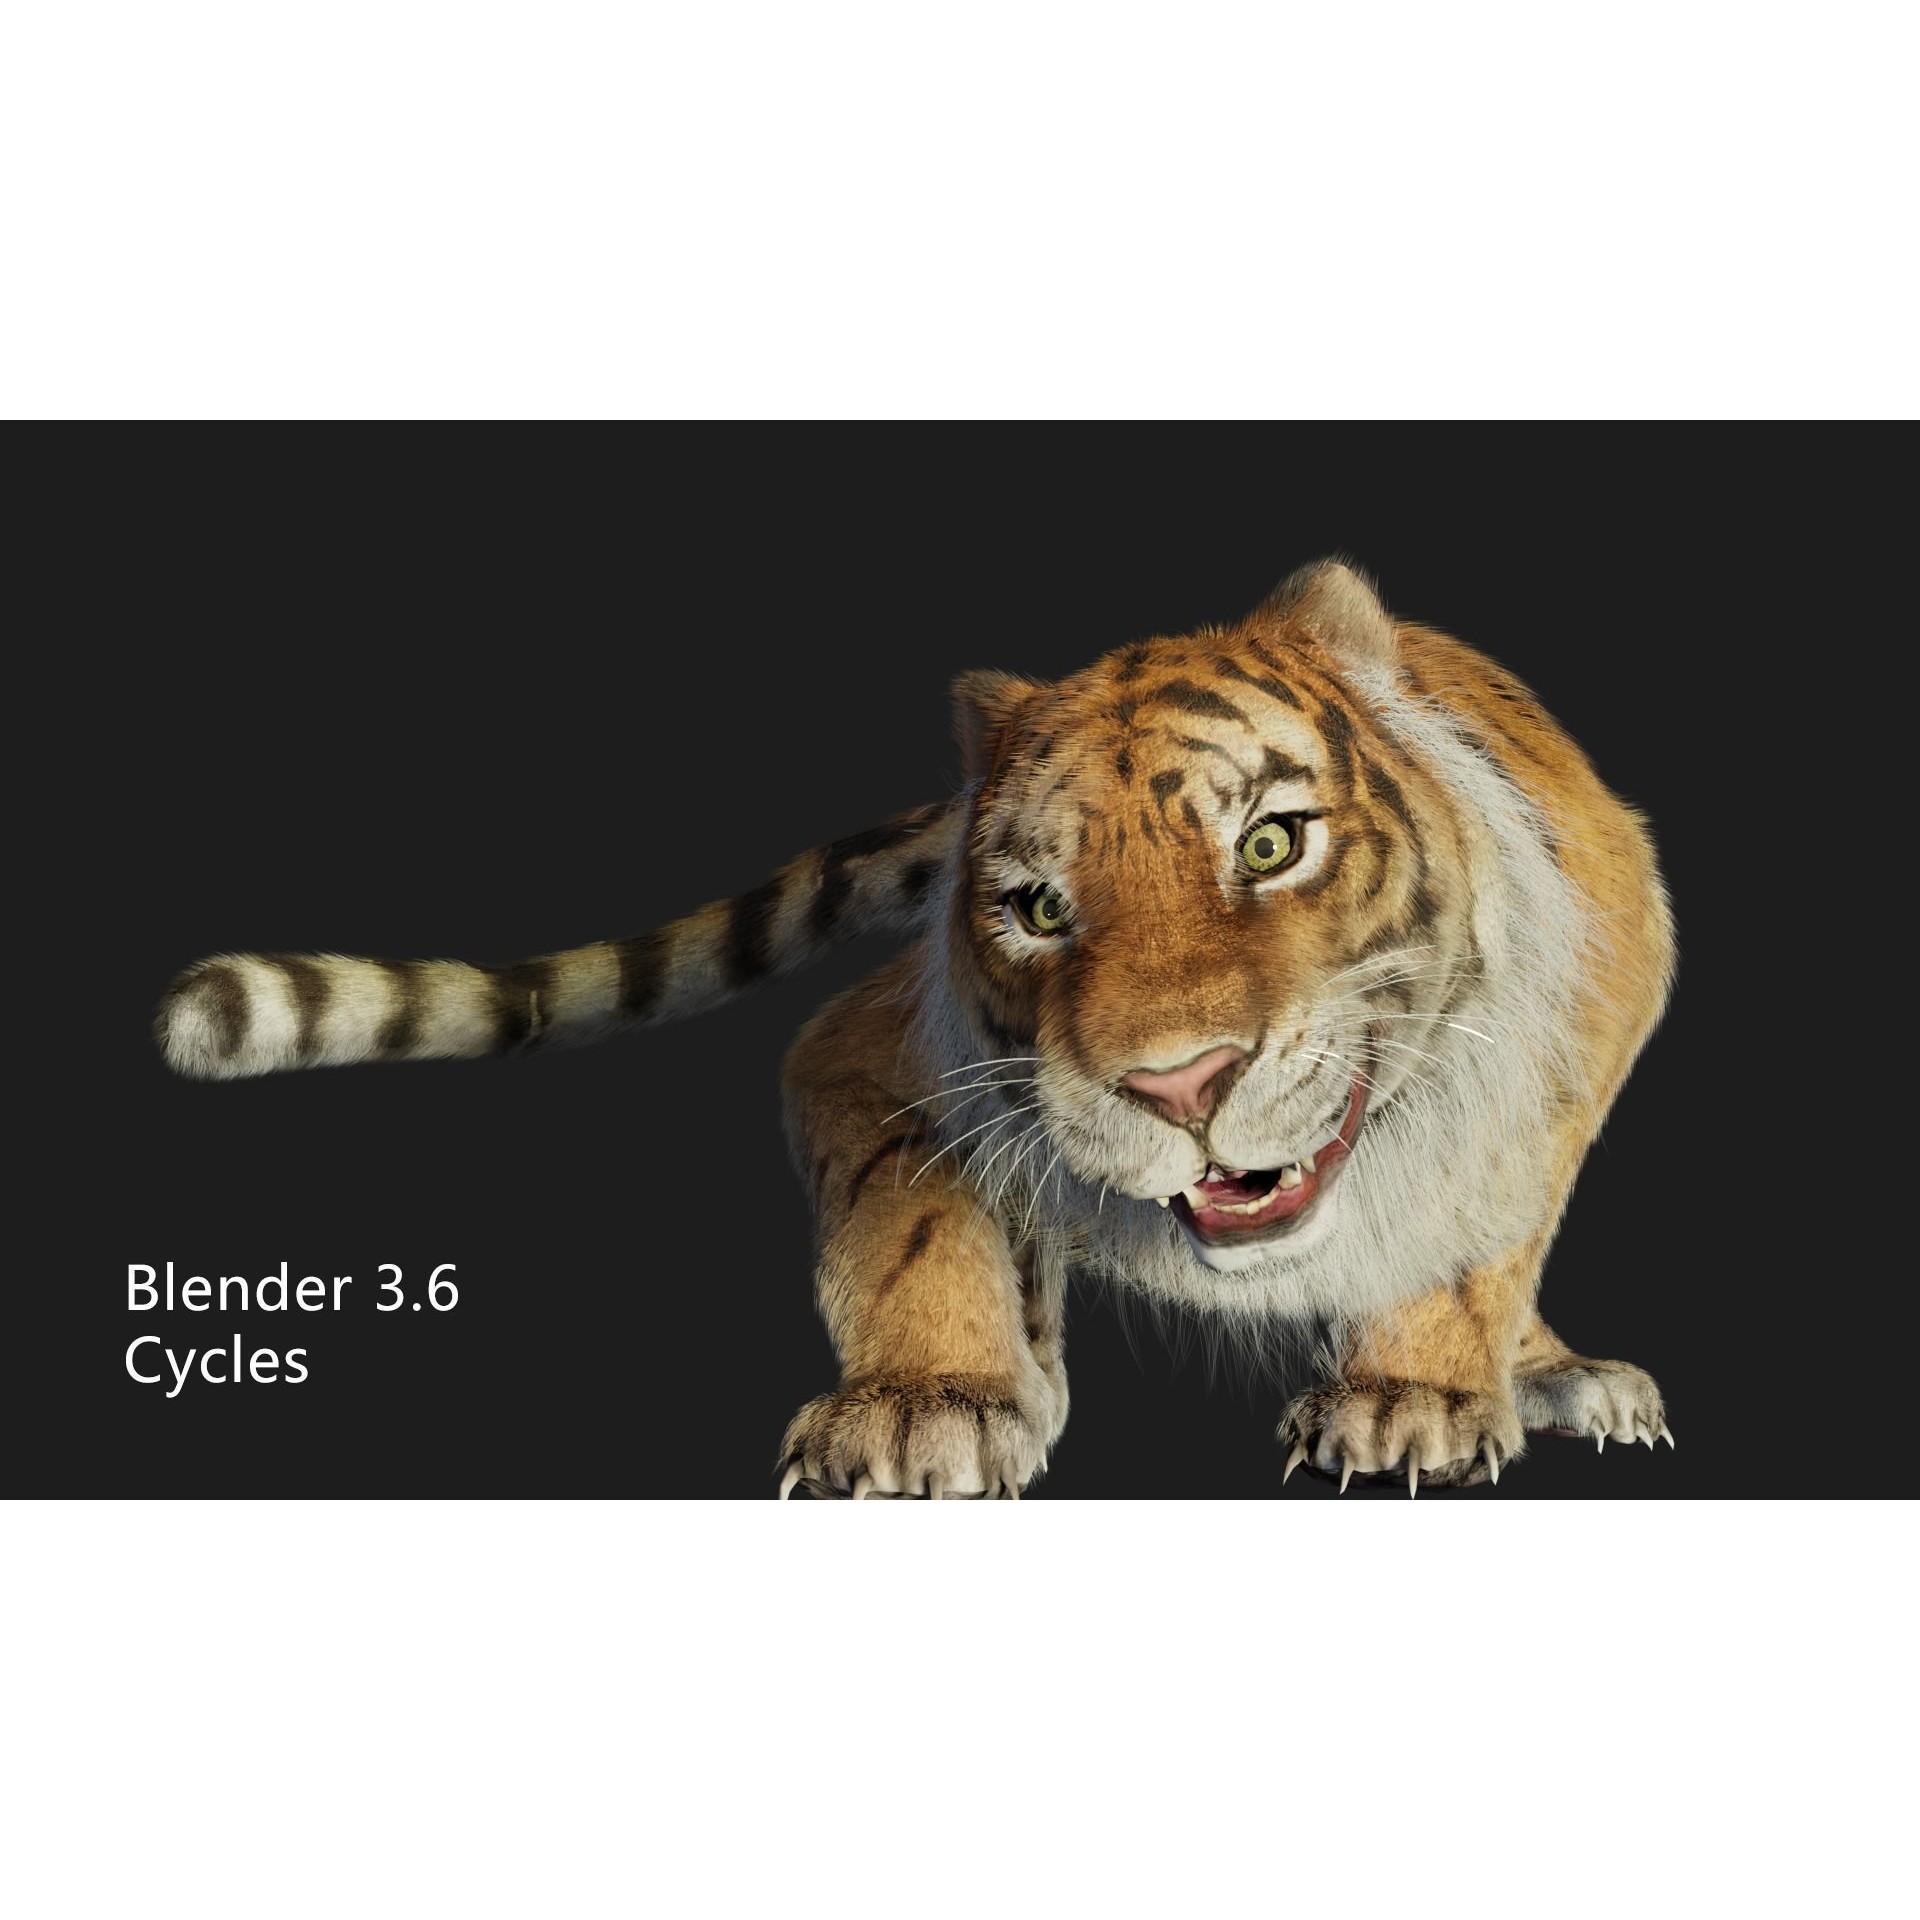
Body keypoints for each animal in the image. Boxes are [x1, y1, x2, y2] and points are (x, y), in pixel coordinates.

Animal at [157, 559, 1676, 1496]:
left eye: (1271, 842)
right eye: (1040, 908)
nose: (1180, 1085)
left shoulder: (1568, 1036)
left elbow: (1473, 1231)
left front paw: (1410, 1398)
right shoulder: (870, 1057)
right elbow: (913, 1218)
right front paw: (928, 1406)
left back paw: (1560, 1376)